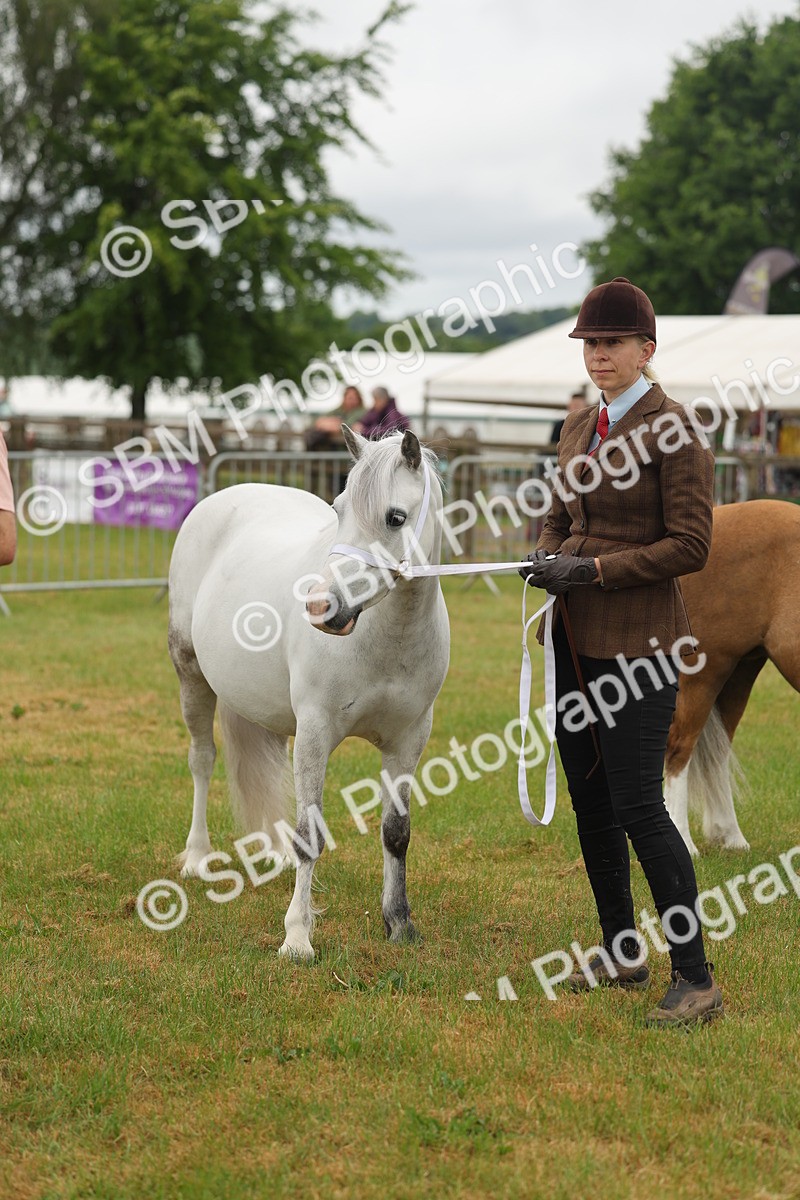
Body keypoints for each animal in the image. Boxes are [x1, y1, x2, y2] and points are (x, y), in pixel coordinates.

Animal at [167, 427, 450, 959]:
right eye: (338, 509)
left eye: (395, 517)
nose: (322, 607)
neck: (386, 638)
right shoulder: (317, 731)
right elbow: (310, 835)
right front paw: (297, 937)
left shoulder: (408, 741)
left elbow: (396, 833)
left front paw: (399, 923)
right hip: (190, 676)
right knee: (202, 760)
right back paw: (197, 857)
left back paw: (274, 854)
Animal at [665, 499, 800, 856]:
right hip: (703, 674)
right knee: (679, 748)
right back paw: (684, 842)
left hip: (740, 671)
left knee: (718, 752)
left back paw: (732, 837)